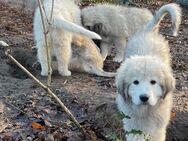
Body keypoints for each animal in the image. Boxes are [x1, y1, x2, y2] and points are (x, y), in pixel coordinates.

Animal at [115, 3, 181, 141]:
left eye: (153, 82)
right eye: (135, 82)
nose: (144, 98)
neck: (145, 111)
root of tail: (148, 32)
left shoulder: (158, 127)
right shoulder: (131, 123)